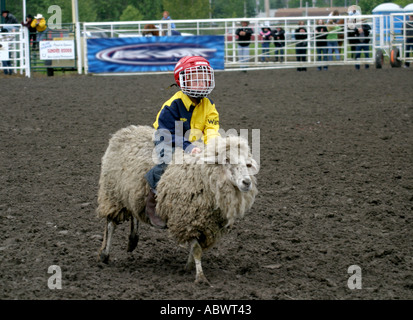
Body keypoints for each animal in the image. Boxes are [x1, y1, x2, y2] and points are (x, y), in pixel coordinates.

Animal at [96, 124, 258, 284]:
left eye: (247, 164)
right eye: (227, 159)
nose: (247, 182)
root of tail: (126, 130)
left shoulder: (203, 224)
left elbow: (195, 249)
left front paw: (188, 267)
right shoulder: (187, 219)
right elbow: (197, 249)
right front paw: (200, 278)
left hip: (133, 192)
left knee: (134, 211)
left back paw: (132, 240)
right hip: (113, 193)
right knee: (111, 224)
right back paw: (104, 254)